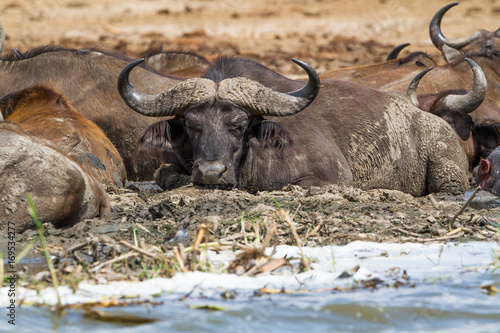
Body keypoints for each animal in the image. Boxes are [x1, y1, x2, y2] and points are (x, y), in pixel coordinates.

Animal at [117, 55, 468, 196]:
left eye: (239, 125)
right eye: (192, 125)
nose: (210, 173)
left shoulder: (335, 176)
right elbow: (164, 174)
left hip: (449, 173)